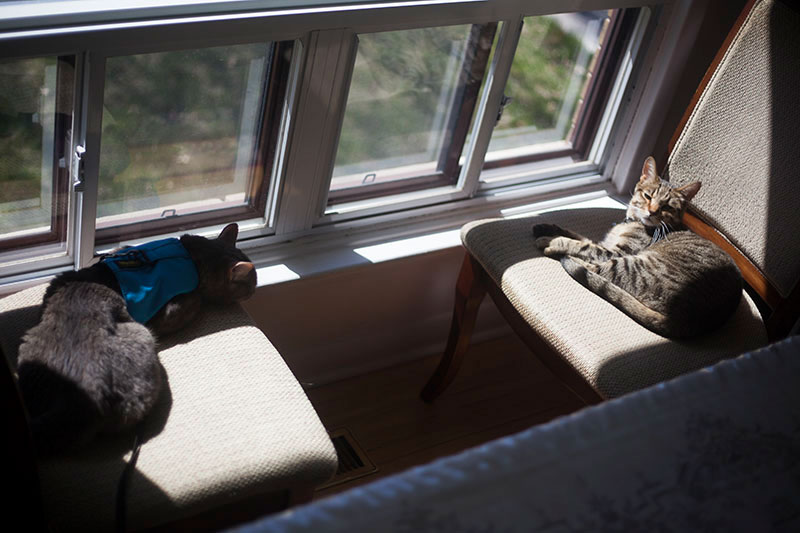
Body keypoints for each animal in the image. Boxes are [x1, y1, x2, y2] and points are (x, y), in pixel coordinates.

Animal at [15, 222, 256, 456]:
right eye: (251, 283)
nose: (255, 289)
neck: (192, 256)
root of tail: (80, 395)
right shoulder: (177, 306)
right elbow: (192, 305)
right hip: (142, 335)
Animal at [532, 156, 744, 336]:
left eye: (667, 207)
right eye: (648, 196)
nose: (652, 211)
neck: (632, 222)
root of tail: (690, 323)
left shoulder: (613, 252)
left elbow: (579, 244)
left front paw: (550, 240)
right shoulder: (605, 243)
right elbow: (578, 236)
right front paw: (545, 228)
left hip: (634, 265)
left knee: (596, 269)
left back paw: (565, 256)